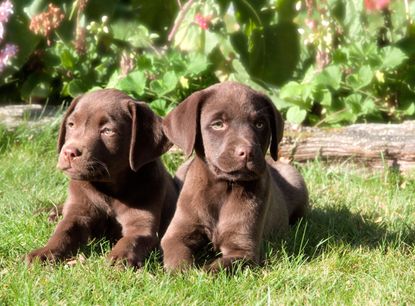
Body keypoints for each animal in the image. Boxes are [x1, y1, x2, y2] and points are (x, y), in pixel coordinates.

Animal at [26, 88, 177, 268]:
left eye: (107, 131)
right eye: (71, 124)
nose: (69, 152)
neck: (109, 188)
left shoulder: (143, 223)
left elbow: (132, 239)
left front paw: (120, 257)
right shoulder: (78, 213)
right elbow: (63, 231)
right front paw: (44, 252)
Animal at [162, 82, 308, 272]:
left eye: (260, 124)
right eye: (218, 124)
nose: (247, 152)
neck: (224, 187)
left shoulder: (243, 249)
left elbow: (218, 267)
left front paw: (203, 271)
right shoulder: (176, 235)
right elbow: (177, 258)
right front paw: (185, 272)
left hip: (296, 179)